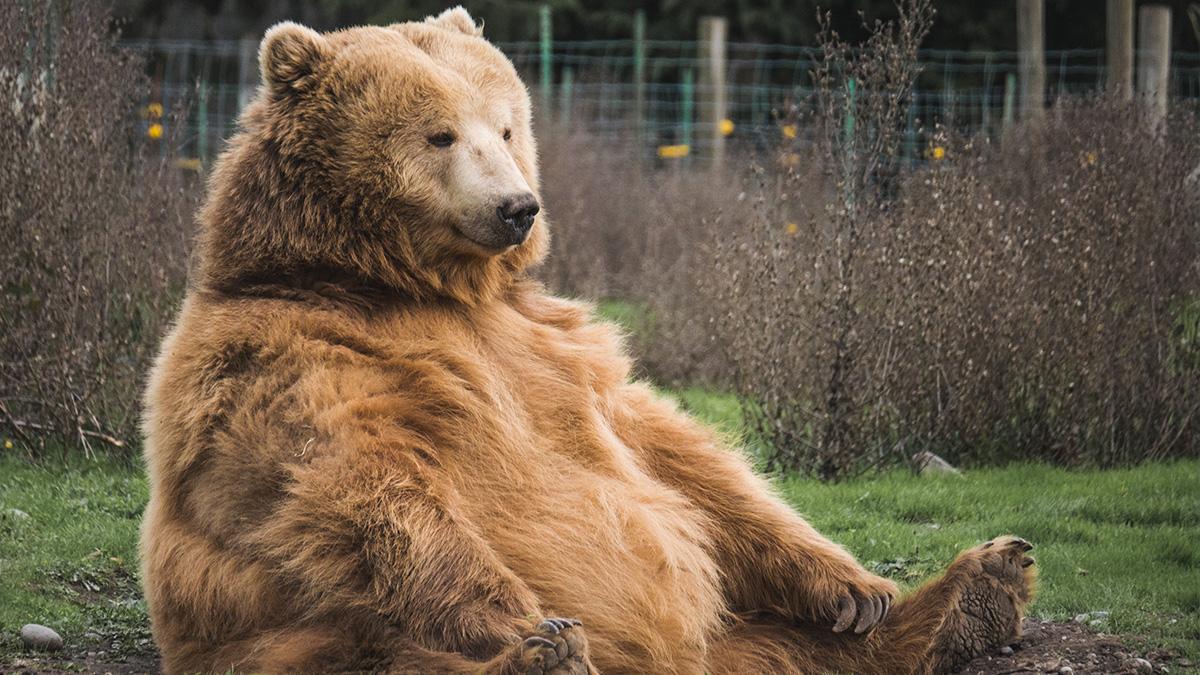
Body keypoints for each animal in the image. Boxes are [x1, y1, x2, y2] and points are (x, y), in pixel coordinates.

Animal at [140, 7, 1036, 667]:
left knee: (798, 646)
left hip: (739, 637)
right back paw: (544, 656)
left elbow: (675, 452)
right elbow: (357, 483)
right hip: (295, 637)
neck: (407, 283)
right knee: (384, 649)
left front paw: (855, 585)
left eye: (505, 125)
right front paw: (524, 623)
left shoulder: (553, 345)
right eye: (438, 133)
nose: (517, 206)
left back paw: (976, 588)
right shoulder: (289, 355)